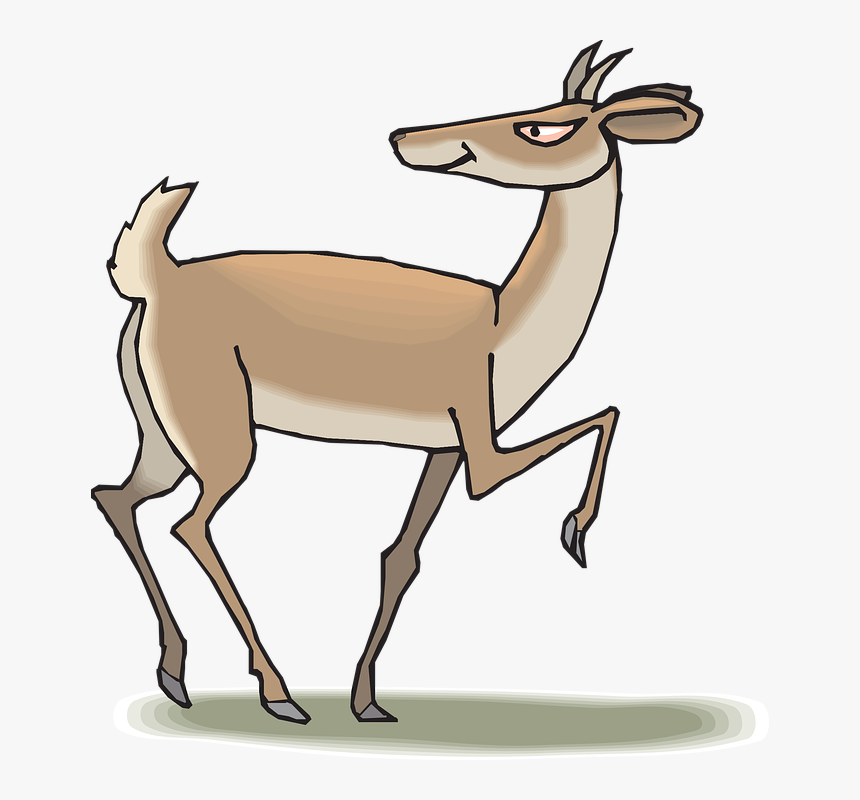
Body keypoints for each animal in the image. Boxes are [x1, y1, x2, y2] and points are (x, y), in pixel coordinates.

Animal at [92, 43, 702, 725]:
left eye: (544, 126)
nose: (406, 137)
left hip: (165, 437)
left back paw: (176, 674)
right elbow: (605, 414)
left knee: (116, 497)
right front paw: (575, 534)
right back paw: (279, 694)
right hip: (224, 440)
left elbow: (401, 556)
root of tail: (155, 275)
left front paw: (367, 702)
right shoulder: (483, 450)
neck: (505, 326)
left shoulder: (444, 448)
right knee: (189, 525)